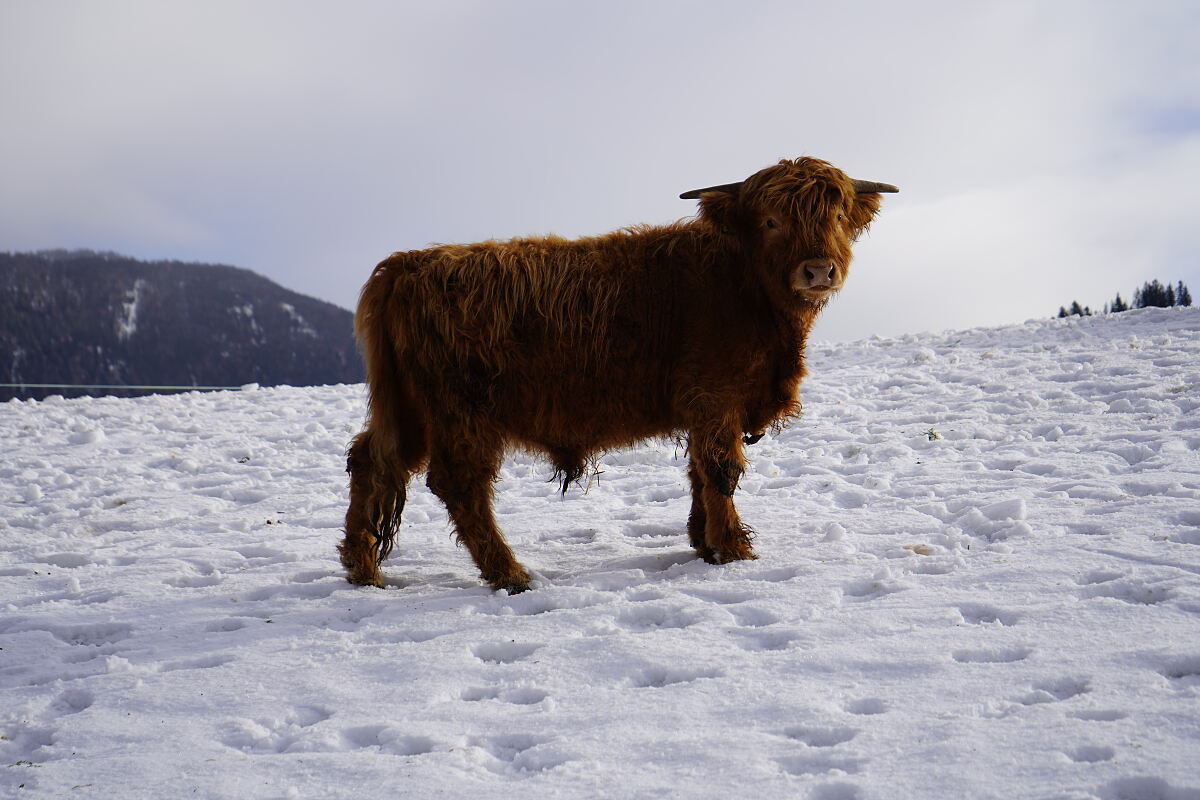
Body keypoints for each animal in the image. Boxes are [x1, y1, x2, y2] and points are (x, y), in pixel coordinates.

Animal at [338, 158, 892, 594]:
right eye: (772, 220)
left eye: (837, 216)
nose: (818, 271)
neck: (744, 286)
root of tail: (405, 266)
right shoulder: (715, 397)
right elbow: (722, 470)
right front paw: (734, 551)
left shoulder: (705, 407)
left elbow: (698, 471)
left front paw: (704, 544)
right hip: (461, 413)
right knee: (458, 484)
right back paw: (510, 575)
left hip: (408, 411)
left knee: (371, 460)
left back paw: (362, 570)